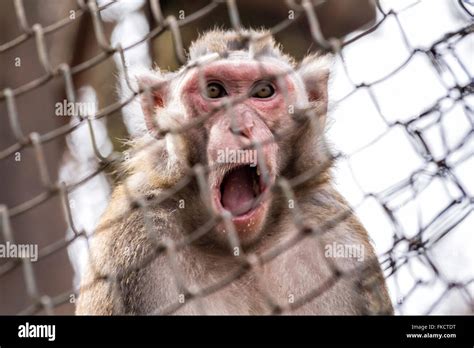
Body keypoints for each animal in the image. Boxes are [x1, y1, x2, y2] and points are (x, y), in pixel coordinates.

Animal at [76, 28, 392, 314]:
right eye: (214, 91)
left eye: (263, 91)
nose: (240, 125)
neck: (241, 250)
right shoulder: (131, 239)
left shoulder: (337, 233)